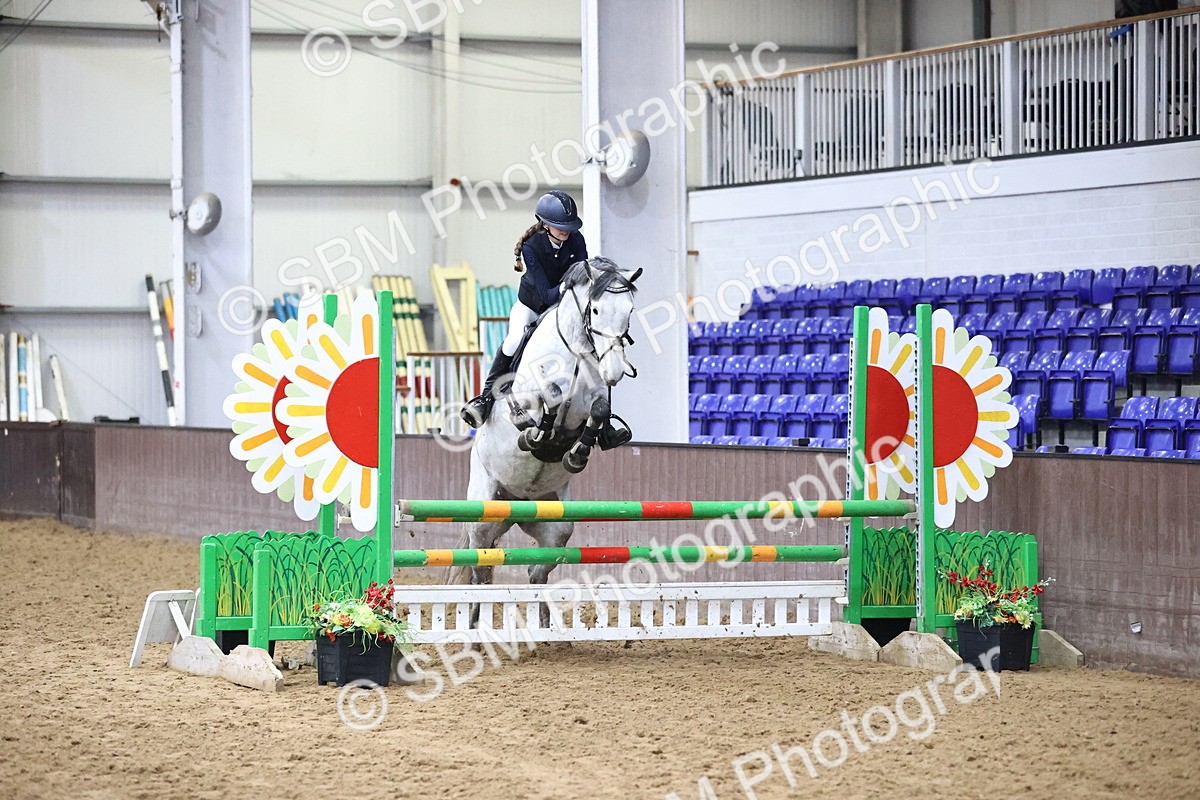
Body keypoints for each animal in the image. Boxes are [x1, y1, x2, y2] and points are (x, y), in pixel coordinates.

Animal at [459, 257, 640, 596]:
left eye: (630, 310)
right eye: (596, 310)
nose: (614, 371)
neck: (576, 351)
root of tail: (516, 502)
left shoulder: (594, 401)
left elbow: (599, 410)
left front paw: (575, 454)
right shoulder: (526, 394)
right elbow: (550, 396)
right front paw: (534, 435)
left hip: (556, 525)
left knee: (536, 571)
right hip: (483, 514)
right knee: (480, 569)